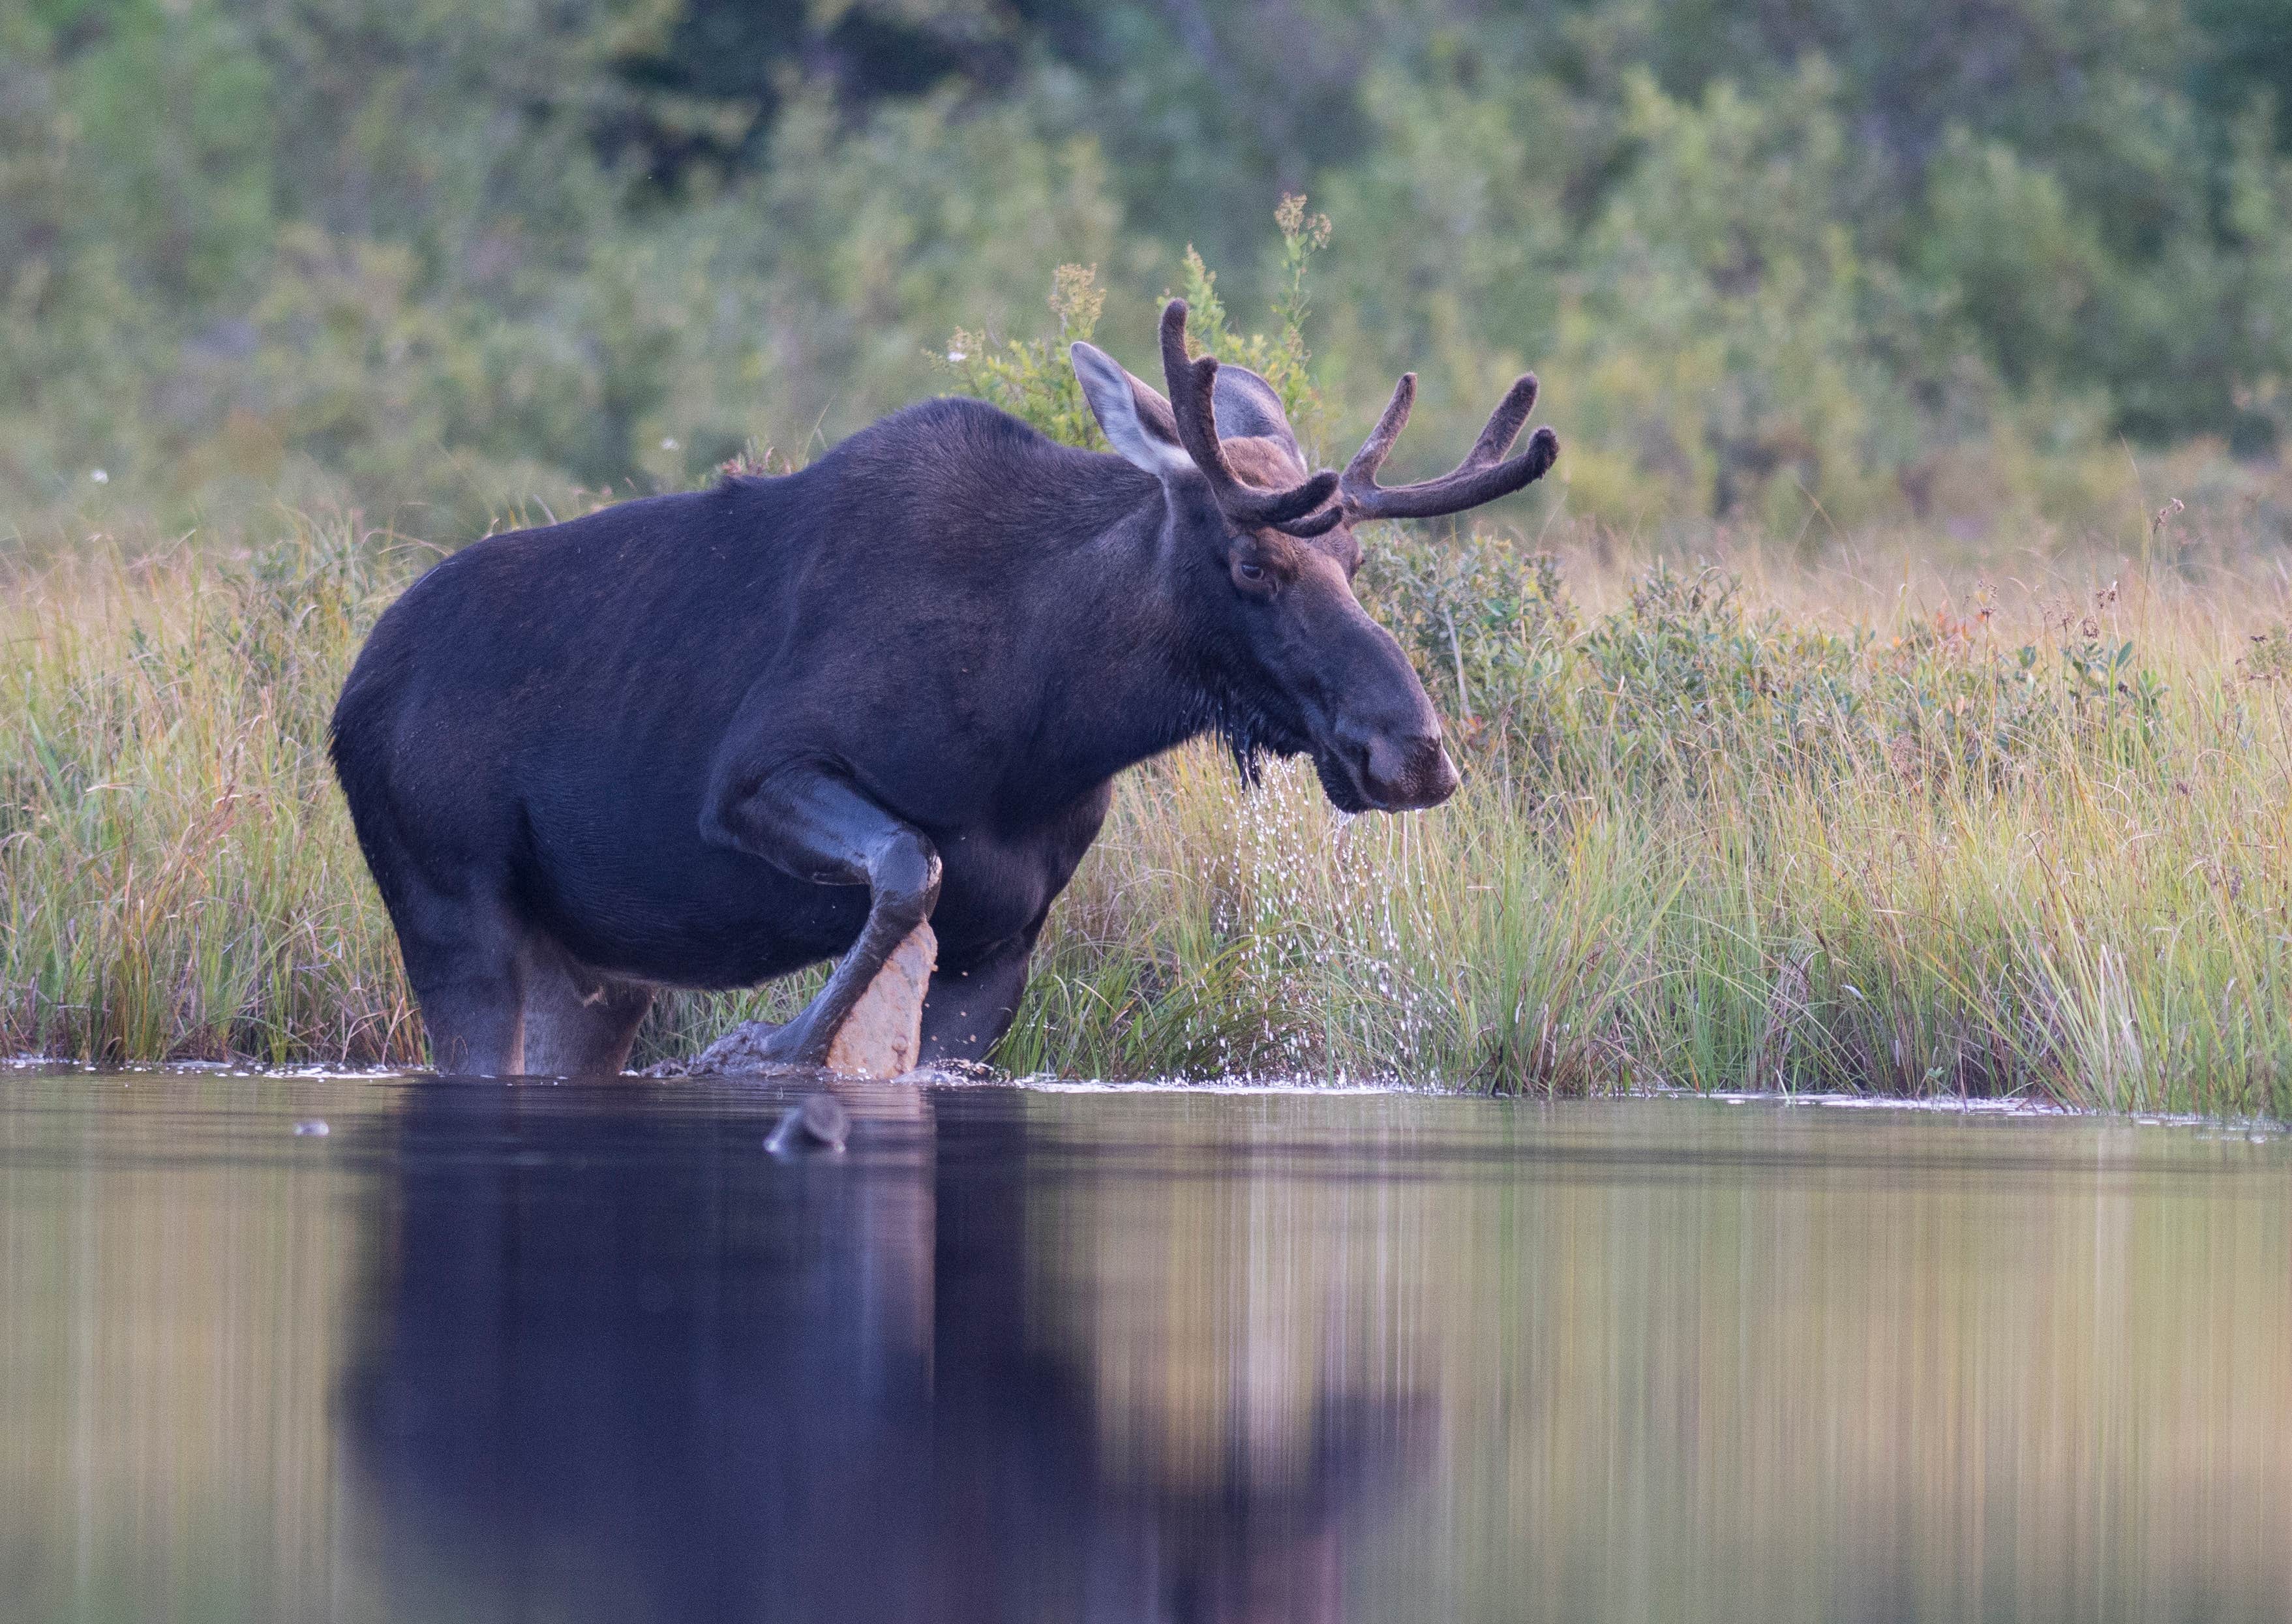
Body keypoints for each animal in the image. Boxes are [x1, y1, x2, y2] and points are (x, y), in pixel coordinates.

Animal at [327, 300, 1558, 1076]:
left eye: (1354, 560)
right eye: (1251, 563)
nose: (1412, 749)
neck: (1046, 715)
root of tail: (351, 692)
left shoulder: (1004, 939)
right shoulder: (751, 773)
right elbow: (905, 866)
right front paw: (766, 1045)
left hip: (593, 967)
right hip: (450, 903)